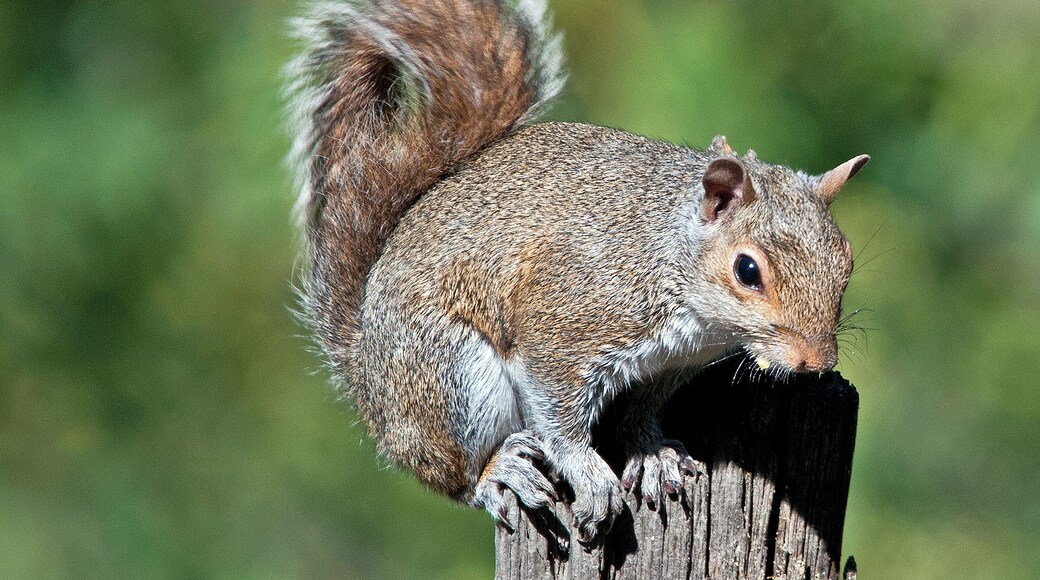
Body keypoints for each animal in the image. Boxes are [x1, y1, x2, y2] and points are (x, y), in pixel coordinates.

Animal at [287, 0, 869, 544]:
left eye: (846, 258)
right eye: (747, 270)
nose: (817, 363)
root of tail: (366, 374)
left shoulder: (667, 366)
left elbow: (640, 413)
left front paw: (651, 454)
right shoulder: (564, 327)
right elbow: (560, 416)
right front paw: (590, 473)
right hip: (450, 379)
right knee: (453, 474)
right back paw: (498, 472)